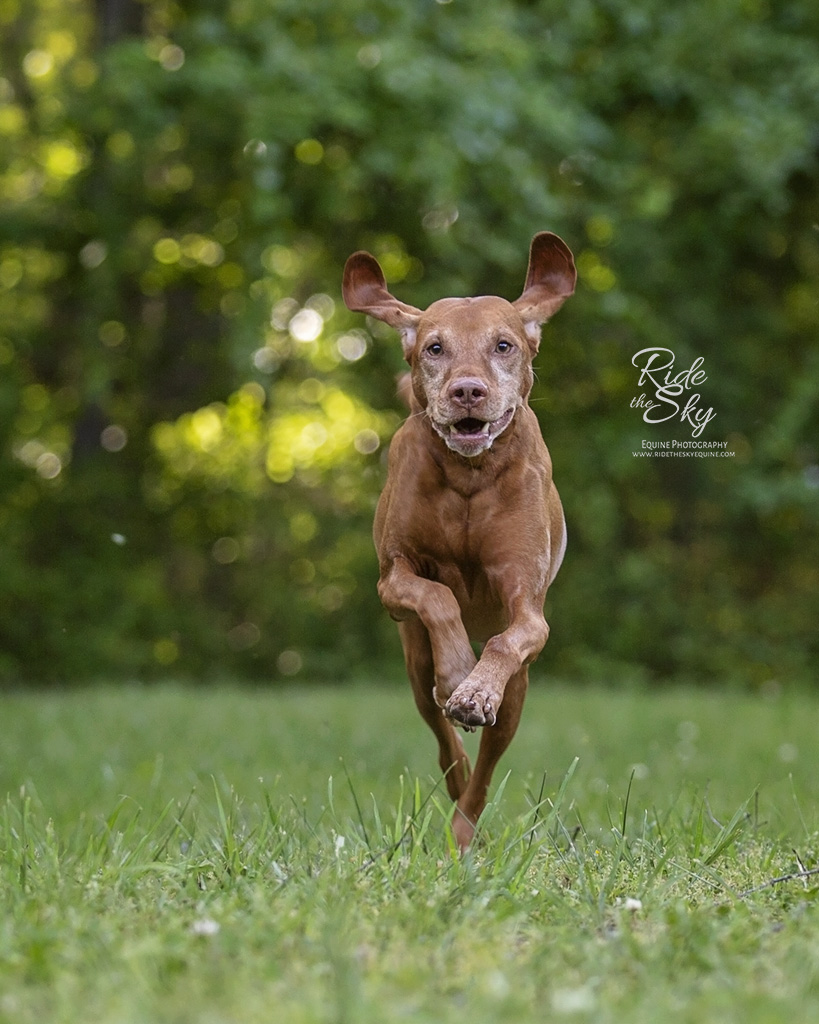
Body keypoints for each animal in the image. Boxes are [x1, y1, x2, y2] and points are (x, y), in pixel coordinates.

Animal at [339, 232, 577, 847]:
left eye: (503, 344)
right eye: (435, 348)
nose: (467, 391)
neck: (469, 476)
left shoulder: (528, 607)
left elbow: (505, 641)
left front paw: (473, 690)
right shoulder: (393, 579)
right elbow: (437, 595)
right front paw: (456, 676)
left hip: (518, 693)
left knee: (487, 768)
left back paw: (465, 829)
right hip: (412, 662)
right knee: (445, 743)